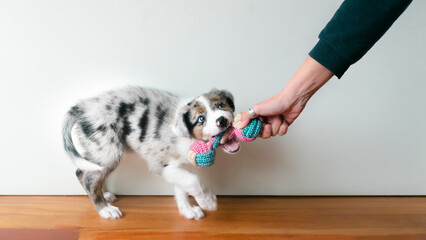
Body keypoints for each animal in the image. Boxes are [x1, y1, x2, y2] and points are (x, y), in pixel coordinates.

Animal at [62, 86, 236, 219]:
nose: (222, 120)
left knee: (81, 172)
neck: (187, 135)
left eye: (221, 105)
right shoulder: (161, 165)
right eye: (201, 119)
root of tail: (81, 108)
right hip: (108, 152)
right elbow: (194, 181)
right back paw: (106, 210)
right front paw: (209, 202)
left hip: (97, 151)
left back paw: (104, 197)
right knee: (89, 179)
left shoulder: (178, 166)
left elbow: (182, 188)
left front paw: (187, 211)